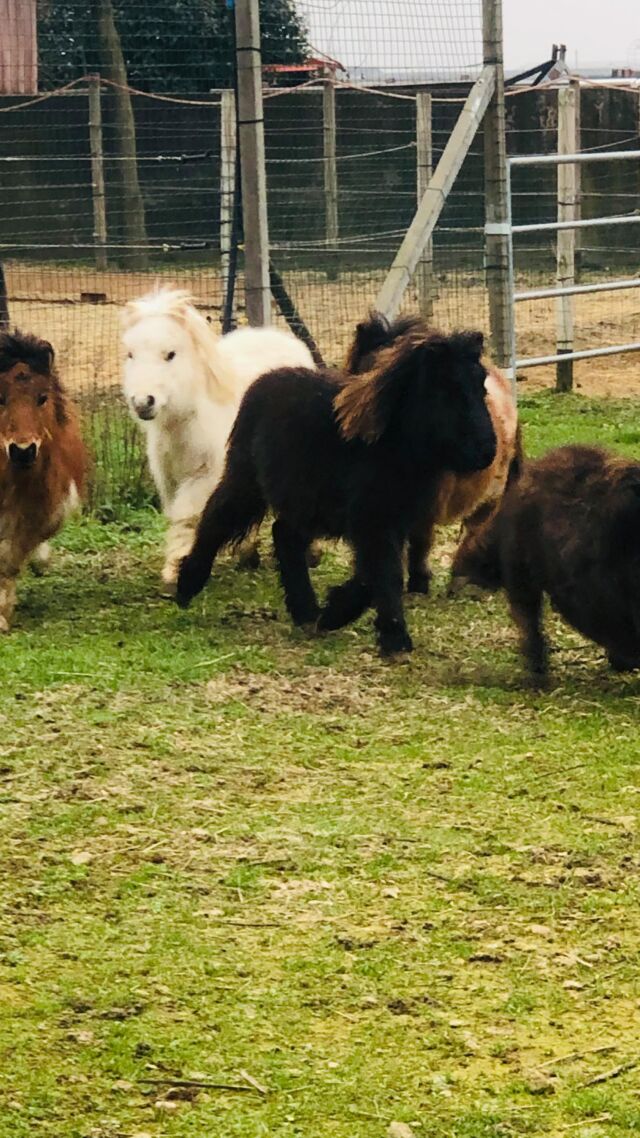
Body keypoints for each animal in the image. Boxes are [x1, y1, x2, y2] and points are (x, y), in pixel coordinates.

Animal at [120, 286, 314, 587]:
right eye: (130, 354)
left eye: (170, 354)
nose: (143, 402)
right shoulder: (171, 478)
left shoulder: (206, 476)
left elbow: (188, 515)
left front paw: (180, 567)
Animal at [176, 318, 496, 660]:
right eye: (448, 389)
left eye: (481, 384)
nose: (487, 451)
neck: (393, 446)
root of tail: (264, 380)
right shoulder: (372, 519)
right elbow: (383, 573)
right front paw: (394, 638)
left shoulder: (391, 520)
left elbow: (373, 575)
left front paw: (335, 613)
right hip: (246, 480)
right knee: (216, 519)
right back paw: (187, 585)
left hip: (304, 500)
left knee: (284, 535)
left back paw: (306, 612)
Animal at [343, 314, 519, 596]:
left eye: (479, 386)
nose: (486, 449)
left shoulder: (426, 504)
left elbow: (420, 540)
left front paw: (418, 583)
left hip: (491, 493)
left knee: (476, 527)